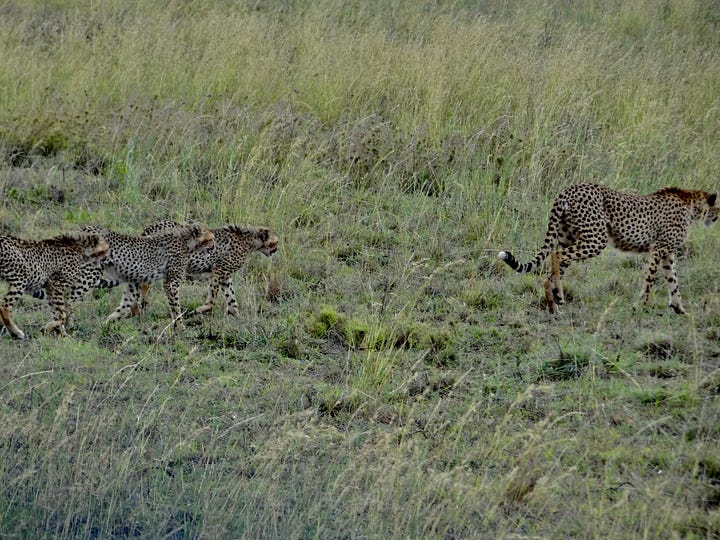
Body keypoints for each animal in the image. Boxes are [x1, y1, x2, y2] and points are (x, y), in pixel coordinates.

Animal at [80, 224, 214, 324]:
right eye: (211, 239)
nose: (214, 246)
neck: (187, 240)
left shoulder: (133, 282)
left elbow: (124, 305)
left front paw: (107, 324)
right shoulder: (171, 283)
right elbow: (175, 307)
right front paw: (180, 327)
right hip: (88, 273)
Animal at [136, 219, 280, 316]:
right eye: (275, 242)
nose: (276, 249)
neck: (250, 240)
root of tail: (153, 225)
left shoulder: (226, 276)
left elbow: (231, 297)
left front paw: (236, 316)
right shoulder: (219, 270)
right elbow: (213, 295)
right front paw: (201, 309)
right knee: (145, 283)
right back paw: (143, 304)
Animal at [498, 184, 716, 314]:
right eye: (718, 207)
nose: (716, 219)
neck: (691, 203)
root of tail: (570, 188)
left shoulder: (667, 253)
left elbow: (673, 280)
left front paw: (680, 308)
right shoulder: (658, 248)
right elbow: (650, 280)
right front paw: (642, 305)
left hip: (569, 238)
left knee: (552, 267)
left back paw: (553, 304)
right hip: (596, 239)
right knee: (556, 254)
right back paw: (558, 295)